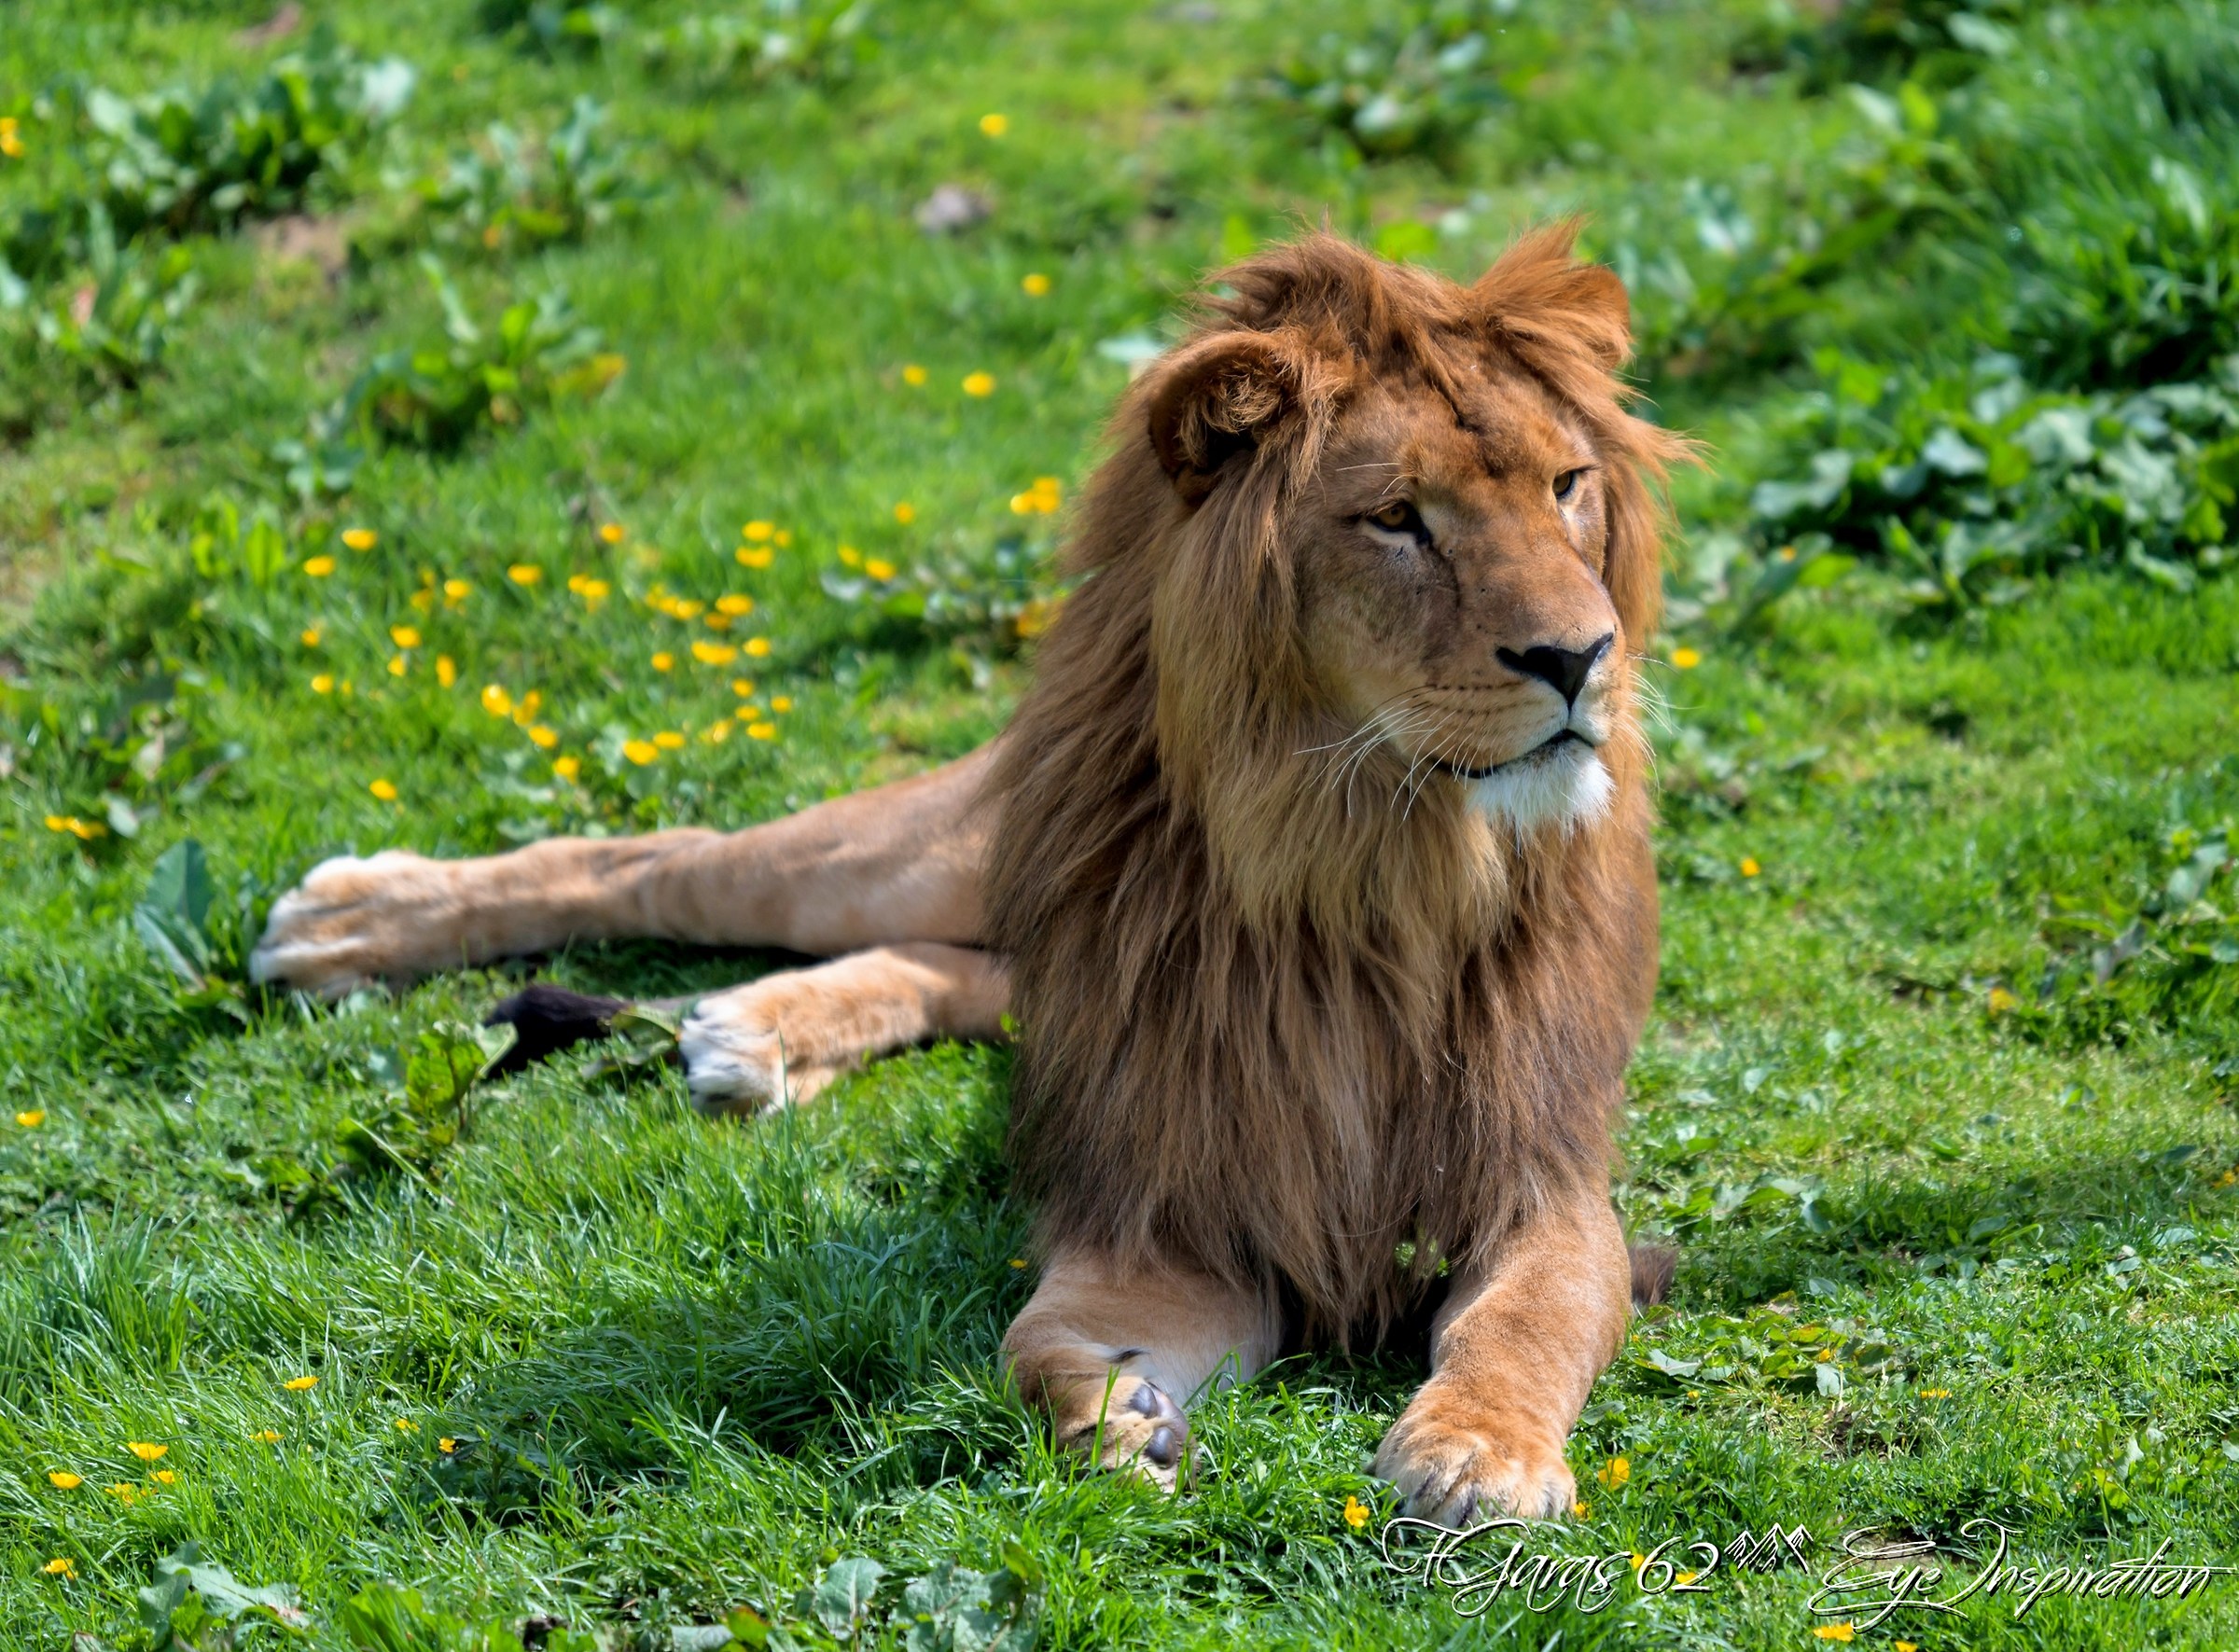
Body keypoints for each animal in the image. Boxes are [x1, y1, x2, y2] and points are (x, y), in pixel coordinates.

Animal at [250, 224, 1690, 1525]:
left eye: (1566, 485)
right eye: (1398, 519)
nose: (1581, 657)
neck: (1368, 866)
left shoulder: (1545, 1174)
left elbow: (1529, 1317)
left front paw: (1477, 1456)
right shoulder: (1175, 1207)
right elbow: (1031, 1340)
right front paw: (1116, 1414)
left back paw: (756, 1030)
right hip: (908, 856)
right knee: (668, 861)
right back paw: (348, 920)